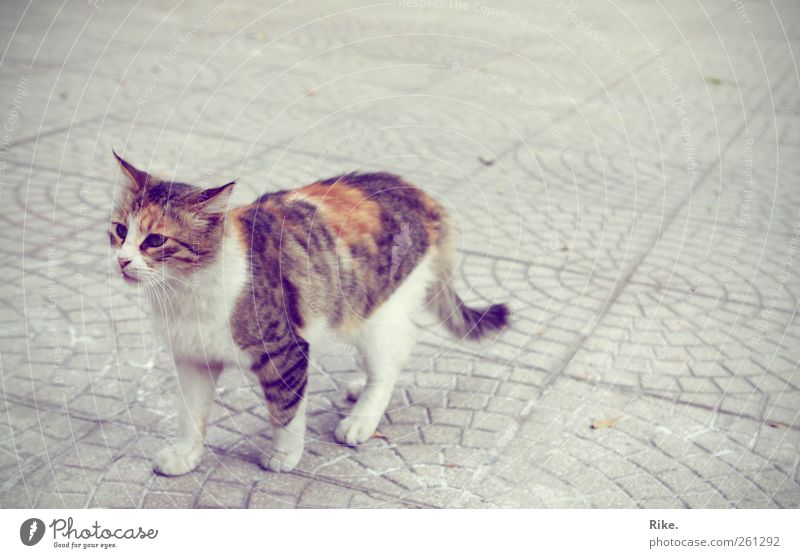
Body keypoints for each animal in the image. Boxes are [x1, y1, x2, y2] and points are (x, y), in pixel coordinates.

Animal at [109, 151, 510, 474]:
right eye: (119, 230)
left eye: (155, 240)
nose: (123, 261)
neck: (185, 291)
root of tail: (418, 191)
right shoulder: (193, 358)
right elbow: (190, 415)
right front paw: (185, 455)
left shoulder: (285, 349)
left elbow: (285, 410)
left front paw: (284, 455)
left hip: (371, 312)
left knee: (391, 361)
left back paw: (361, 418)